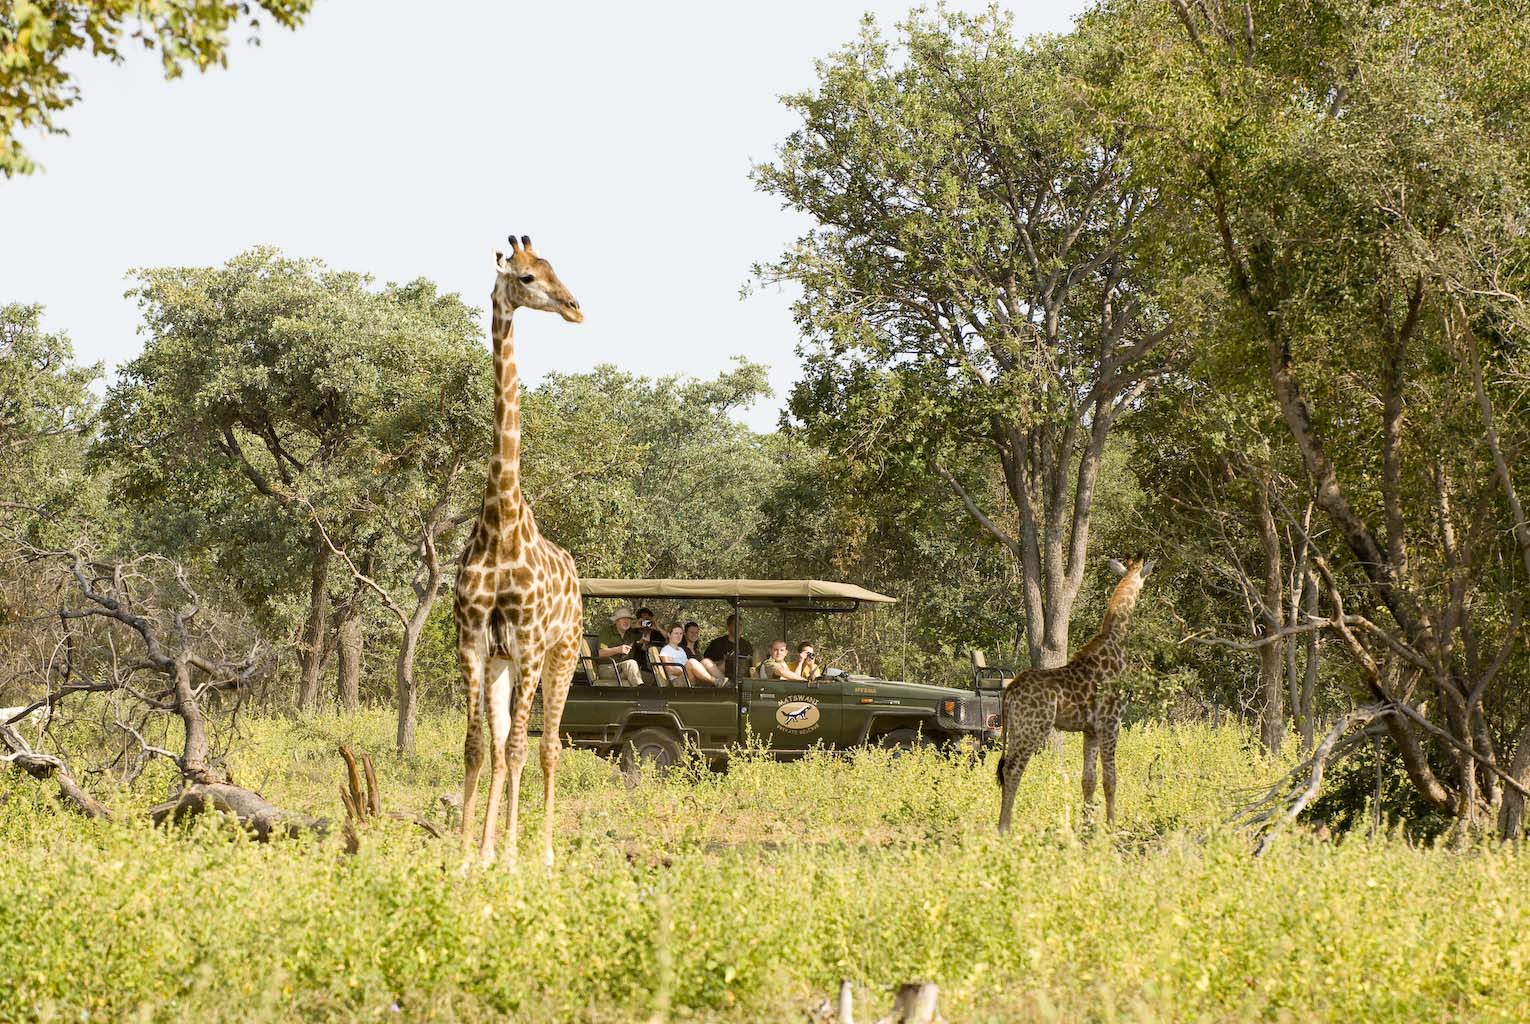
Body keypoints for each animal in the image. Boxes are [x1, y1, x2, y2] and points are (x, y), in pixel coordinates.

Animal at [997, 560, 1150, 832]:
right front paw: (1111, 826)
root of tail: (1010, 692)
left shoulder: (1090, 730)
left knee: (1005, 767)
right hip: (1033, 728)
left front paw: (1087, 826)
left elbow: (1088, 779)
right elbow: (1110, 779)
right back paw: (1005, 828)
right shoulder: (1111, 723)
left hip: (1016, 728)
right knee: (1014, 768)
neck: (1115, 639)